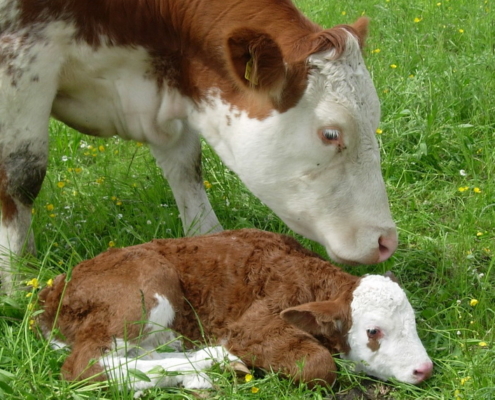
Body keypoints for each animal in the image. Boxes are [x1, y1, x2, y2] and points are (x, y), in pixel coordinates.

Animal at [0, 0, 400, 294]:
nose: (386, 240)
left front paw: (208, 245)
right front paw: (19, 284)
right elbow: (21, 173)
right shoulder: (20, 59)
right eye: (330, 134)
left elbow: (186, 168)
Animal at [37, 230, 434, 392]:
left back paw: (202, 368)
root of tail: (53, 294)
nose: (424, 369)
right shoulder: (253, 326)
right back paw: (215, 359)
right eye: (373, 331)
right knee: (85, 366)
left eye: (413, 323)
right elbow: (320, 366)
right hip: (142, 289)